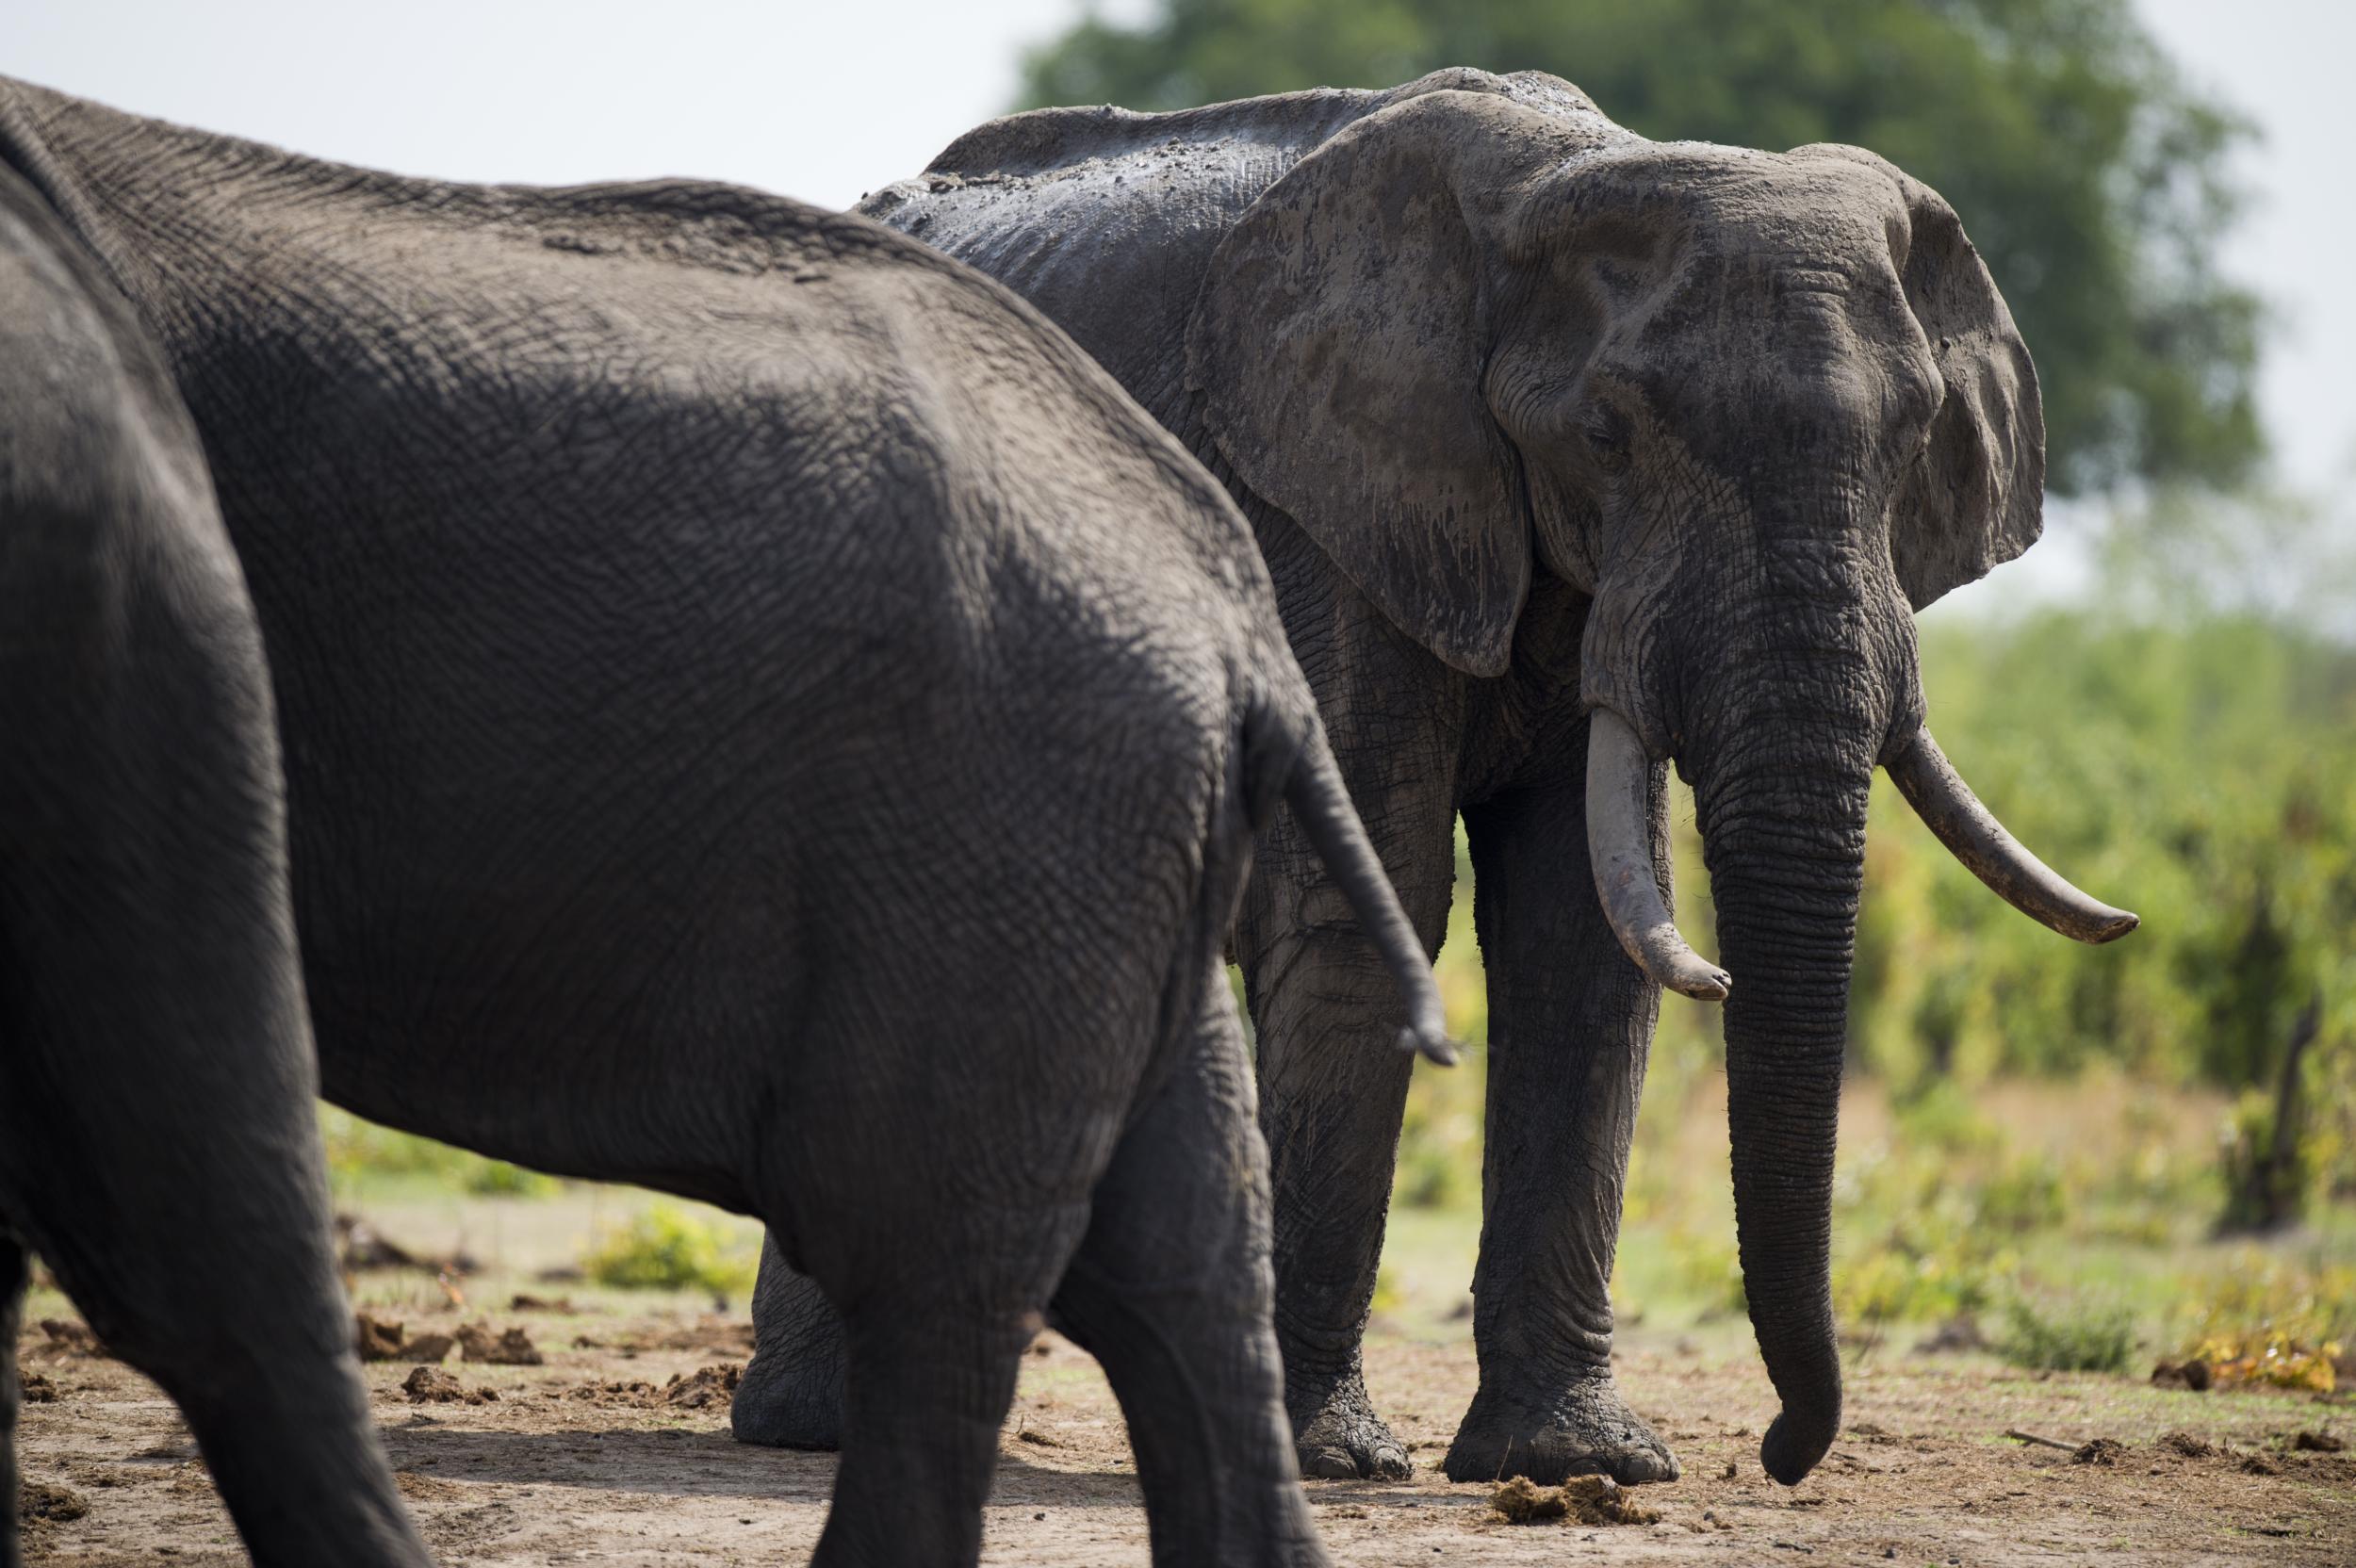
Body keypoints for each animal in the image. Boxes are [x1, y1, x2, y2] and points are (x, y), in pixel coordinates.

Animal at [735, 67, 2139, 1488]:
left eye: (1912, 443)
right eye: (1606, 434)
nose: (1785, 1455)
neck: (1561, 185)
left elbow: (1584, 932)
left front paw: (1575, 1464)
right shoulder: (1314, 507)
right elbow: (1378, 898)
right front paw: (1329, 1458)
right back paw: (814, 1427)